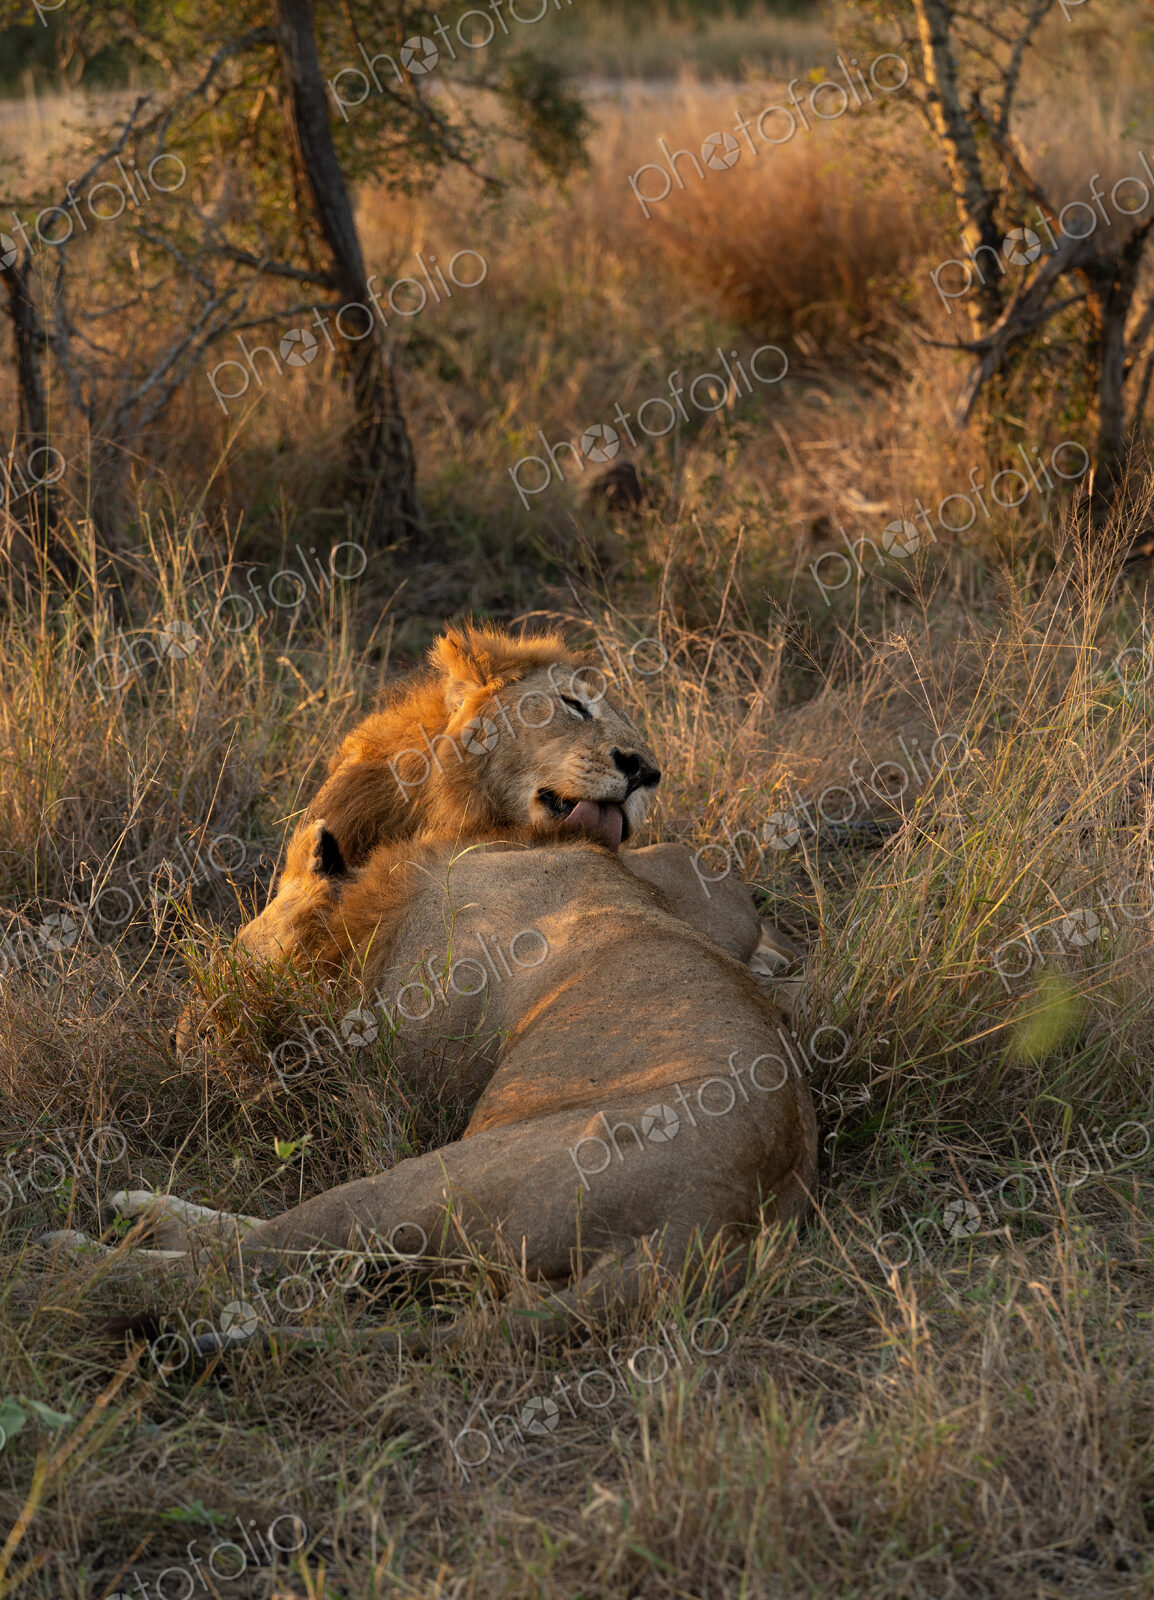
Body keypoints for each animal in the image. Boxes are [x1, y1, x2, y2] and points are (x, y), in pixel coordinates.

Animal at [67, 823, 818, 1329]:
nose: (177, 1035)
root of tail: (703, 1227)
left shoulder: (397, 1068)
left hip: (424, 1182)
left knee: (246, 1261)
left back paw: (84, 1257)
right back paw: (134, 1212)